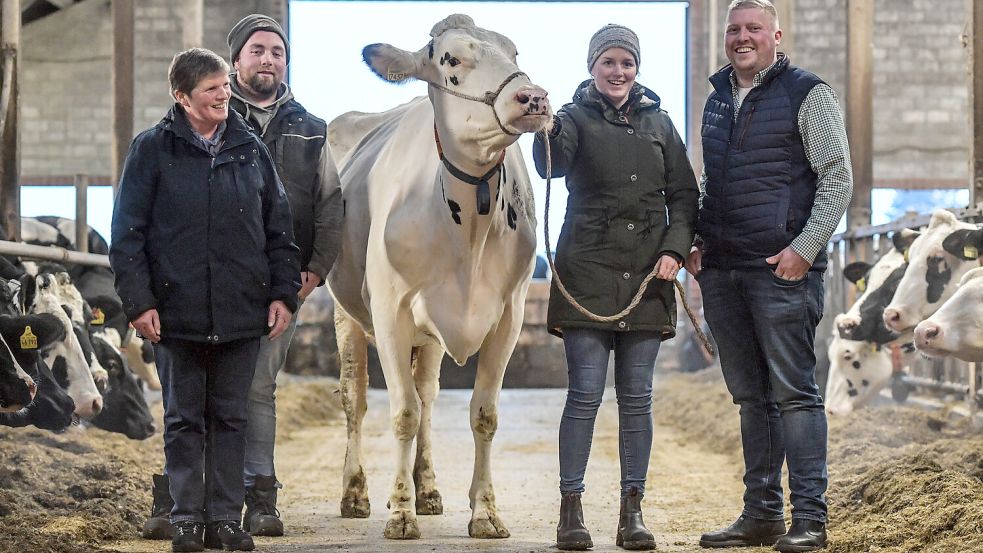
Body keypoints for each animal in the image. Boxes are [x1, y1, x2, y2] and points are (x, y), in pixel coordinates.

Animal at [332, 14, 552, 540]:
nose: (533, 97)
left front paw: (485, 512)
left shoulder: (510, 315)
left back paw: (428, 488)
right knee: (355, 399)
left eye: (514, 53)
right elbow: (402, 413)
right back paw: (356, 493)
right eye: (451, 58)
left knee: (428, 396)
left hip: (428, 333)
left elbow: (483, 414)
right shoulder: (389, 312)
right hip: (345, 312)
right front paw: (399, 513)